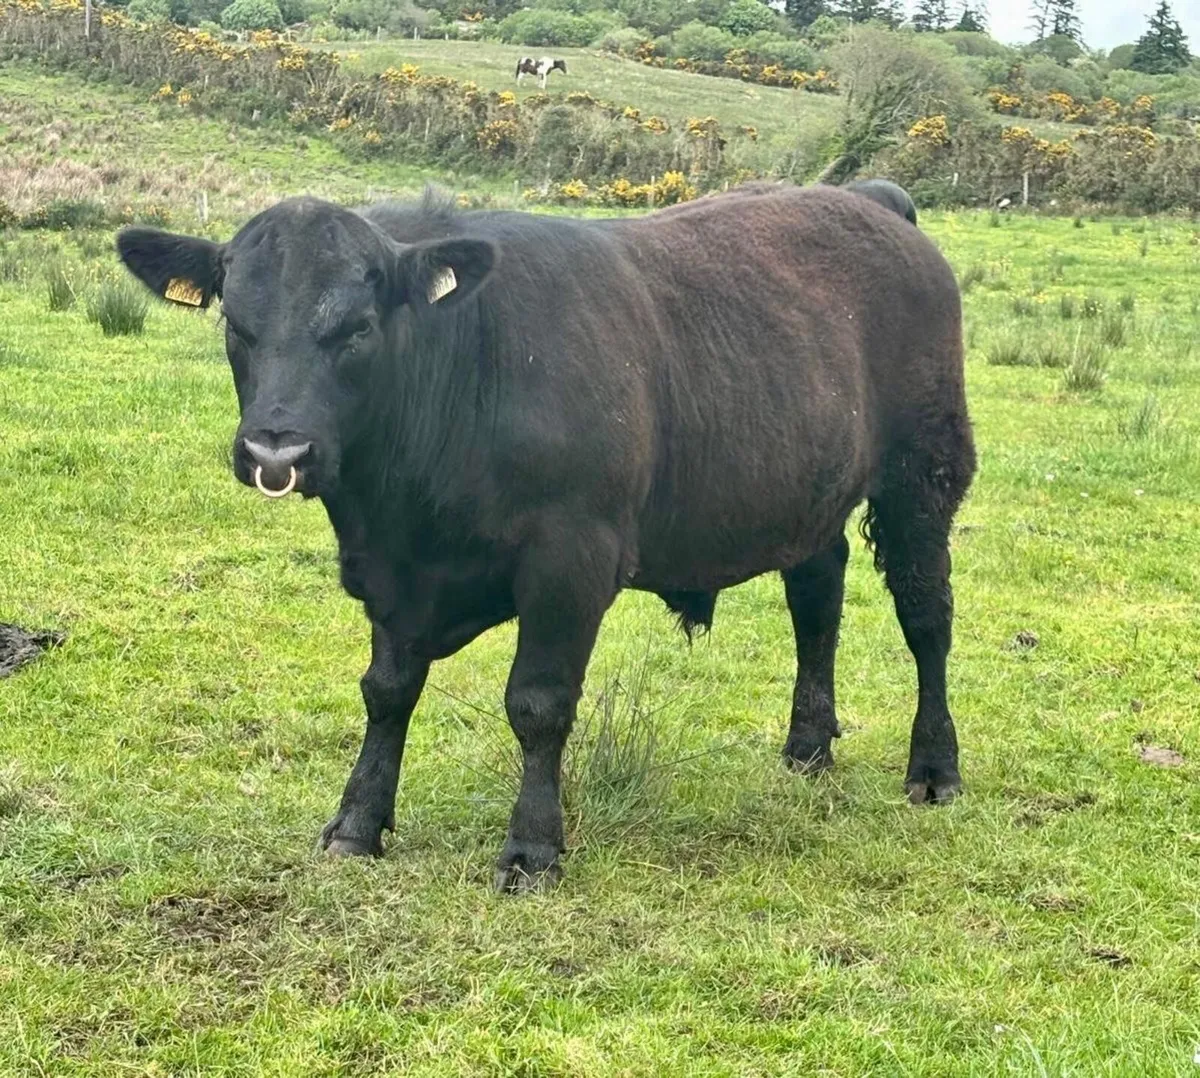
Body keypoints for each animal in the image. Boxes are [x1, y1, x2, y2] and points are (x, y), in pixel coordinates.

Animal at [116, 184, 976, 893]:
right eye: (237, 325)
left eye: (357, 329)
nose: (276, 452)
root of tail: (871, 199)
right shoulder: (391, 573)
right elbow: (386, 691)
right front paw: (358, 823)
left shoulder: (571, 559)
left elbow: (537, 704)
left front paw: (532, 850)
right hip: (808, 495)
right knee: (817, 602)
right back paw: (807, 746)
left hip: (924, 474)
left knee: (926, 619)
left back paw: (934, 767)